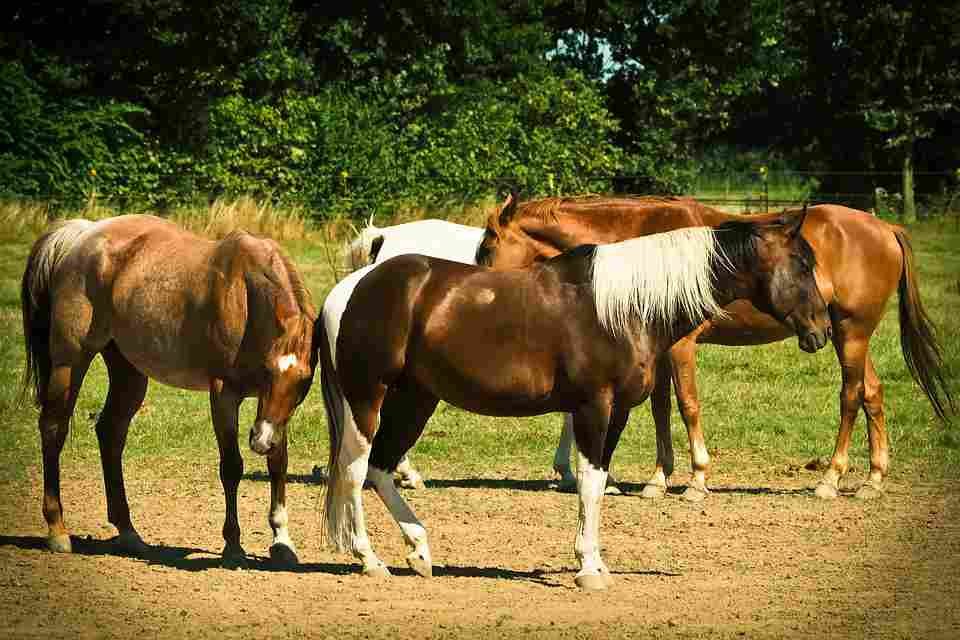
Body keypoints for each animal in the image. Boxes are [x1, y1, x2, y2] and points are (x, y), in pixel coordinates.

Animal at [19, 215, 318, 564]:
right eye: (270, 370)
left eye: (303, 380)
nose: (261, 442)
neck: (245, 299)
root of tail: (82, 234)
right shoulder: (224, 396)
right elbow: (232, 467)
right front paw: (232, 545)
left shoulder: (274, 413)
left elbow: (279, 463)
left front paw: (282, 541)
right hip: (70, 362)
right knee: (53, 429)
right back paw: (58, 530)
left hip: (129, 372)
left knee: (110, 433)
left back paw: (129, 533)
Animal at [322, 211, 832, 592]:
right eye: (801, 263)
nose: (822, 330)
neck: (626, 306)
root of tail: (350, 289)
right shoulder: (594, 408)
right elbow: (588, 483)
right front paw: (588, 569)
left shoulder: (619, 412)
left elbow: (600, 483)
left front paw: (598, 562)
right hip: (368, 399)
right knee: (354, 470)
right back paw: (370, 560)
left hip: (416, 400)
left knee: (381, 467)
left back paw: (419, 550)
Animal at [474, 194, 952, 500]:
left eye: (487, 250)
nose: (478, 292)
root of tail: (884, 227)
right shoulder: (656, 349)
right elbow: (661, 409)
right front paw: (658, 479)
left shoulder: (681, 346)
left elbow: (687, 406)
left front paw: (697, 480)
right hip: (849, 335)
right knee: (873, 393)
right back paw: (873, 480)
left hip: (850, 334)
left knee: (851, 395)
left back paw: (831, 480)